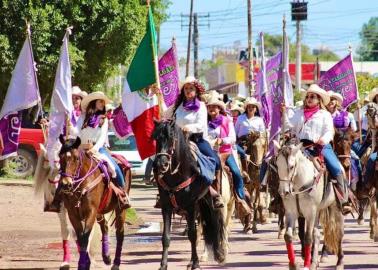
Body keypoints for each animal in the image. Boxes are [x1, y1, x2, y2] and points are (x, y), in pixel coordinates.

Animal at [56, 137, 131, 270]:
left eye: (76, 158)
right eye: (60, 156)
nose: (65, 183)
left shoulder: (91, 211)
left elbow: (85, 237)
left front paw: (82, 264)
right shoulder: (73, 214)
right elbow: (80, 238)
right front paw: (85, 263)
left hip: (120, 209)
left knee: (120, 233)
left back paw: (116, 263)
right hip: (100, 211)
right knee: (105, 226)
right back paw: (106, 257)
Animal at [152, 120, 226, 270]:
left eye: (171, 138)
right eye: (156, 138)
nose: (161, 165)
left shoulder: (191, 206)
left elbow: (193, 234)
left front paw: (196, 264)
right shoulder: (166, 207)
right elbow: (166, 237)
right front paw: (163, 265)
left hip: (205, 203)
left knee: (213, 222)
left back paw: (218, 254)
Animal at [274, 139, 344, 270]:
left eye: (291, 166)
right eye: (277, 165)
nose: (283, 192)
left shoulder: (310, 213)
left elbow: (308, 237)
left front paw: (306, 265)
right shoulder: (291, 212)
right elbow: (288, 236)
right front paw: (294, 264)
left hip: (335, 208)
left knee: (338, 233)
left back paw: (339, 262)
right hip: (318, 212)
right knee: (317, 234)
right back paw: (314, 262)